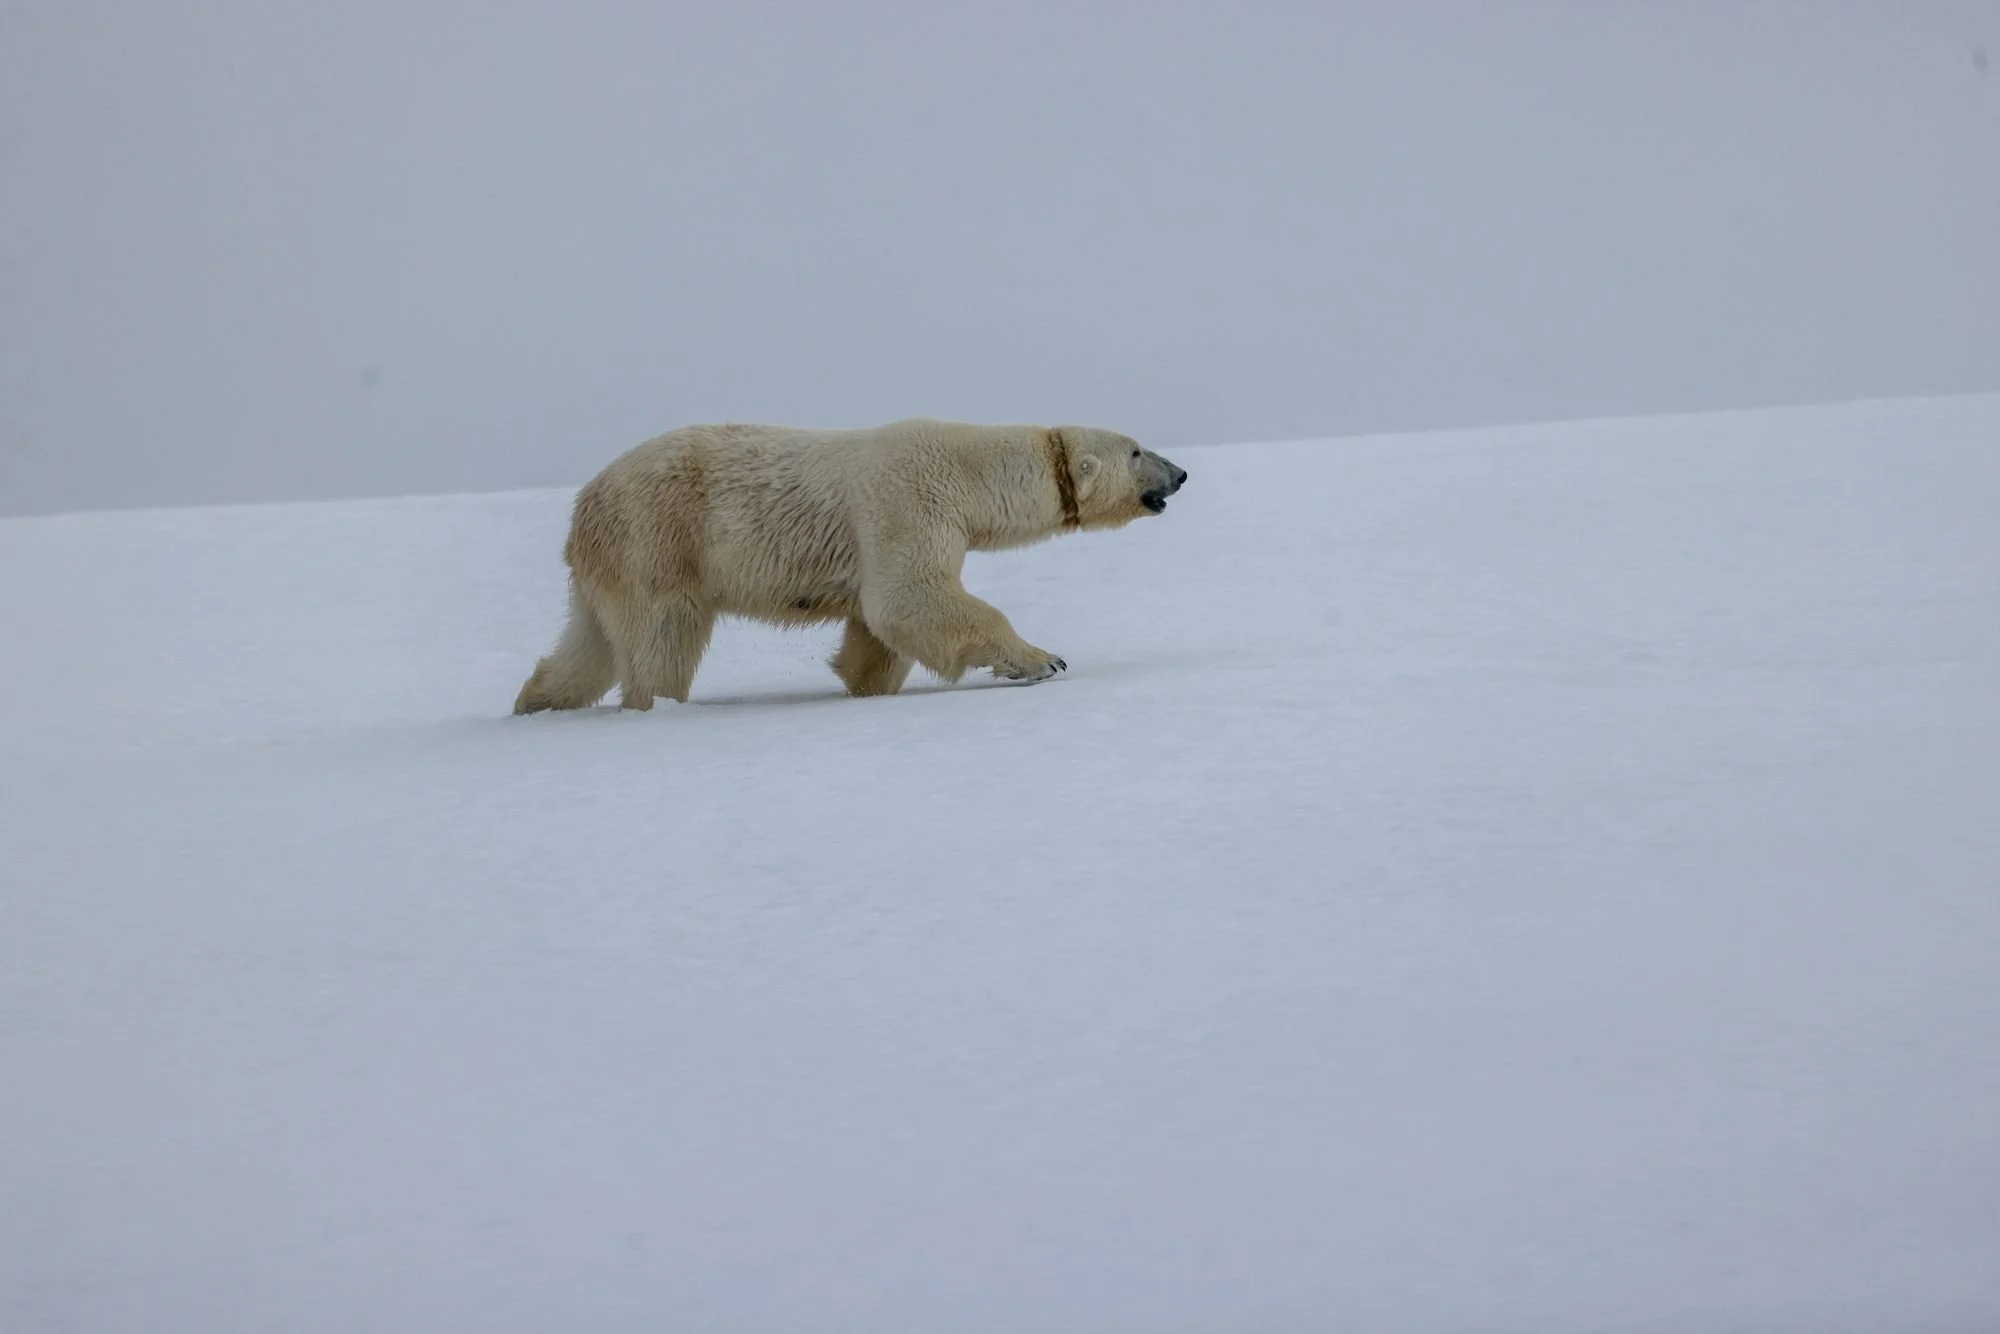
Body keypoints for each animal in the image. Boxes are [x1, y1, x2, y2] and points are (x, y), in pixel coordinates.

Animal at [511, 416, 1188, 713]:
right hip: (659, 539)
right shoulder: (909, 502)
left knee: (590, 645)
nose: (1180, 473)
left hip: (612, 564)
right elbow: (909, 596)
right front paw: (1043, 659)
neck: (971, 470)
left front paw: (865, 685)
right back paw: (657, 705)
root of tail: (585, 504)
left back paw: (535, 702)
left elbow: (877, 622)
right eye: (1136, 450)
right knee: (661, 636)